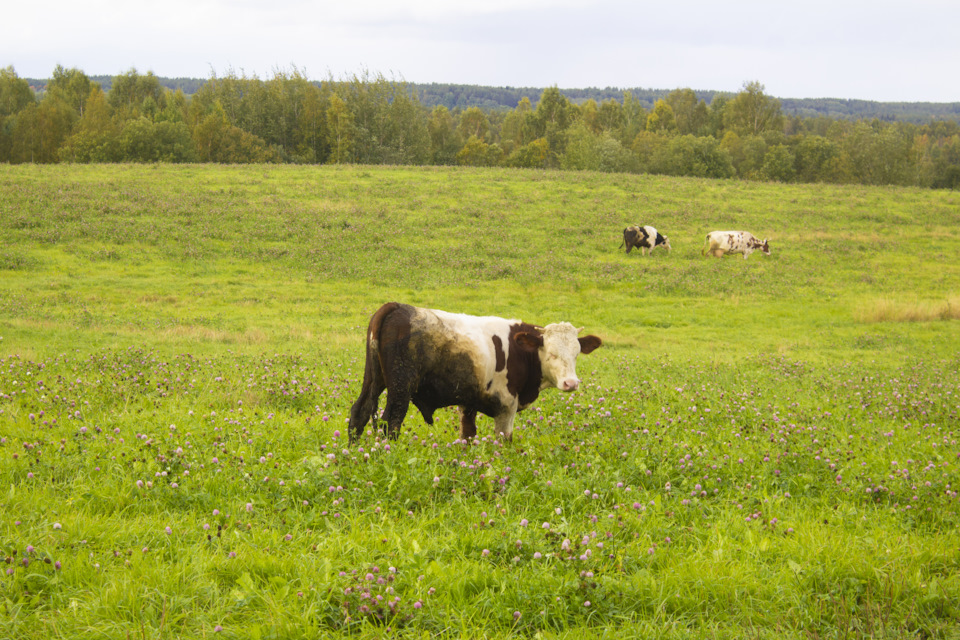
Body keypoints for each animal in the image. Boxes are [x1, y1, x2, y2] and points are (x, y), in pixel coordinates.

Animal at [344, 302, 600, 442]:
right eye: (552, 354)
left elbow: (467, 436)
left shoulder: (467, 403)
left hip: (373, 379)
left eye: (576, 353)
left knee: (359, 412)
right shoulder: (506, 405)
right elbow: (504, 440)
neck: (520, 351)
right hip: (400, 388)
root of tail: (397, 306)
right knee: (391, 422)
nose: (571, 383)